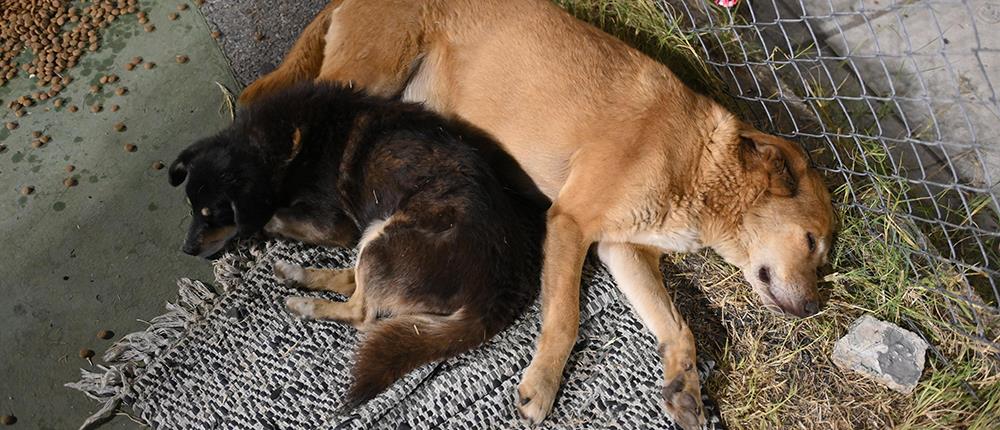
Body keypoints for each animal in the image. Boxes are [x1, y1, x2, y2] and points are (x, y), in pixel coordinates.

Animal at [170, 82, 548, 408]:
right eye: (191, 208)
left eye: (214, 215)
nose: (187, 249)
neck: (278, 142)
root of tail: (496, 295)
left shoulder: (334, 225)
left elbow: (270, 217)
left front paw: (251, 237)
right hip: (377, 235)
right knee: (352, 281)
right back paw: (295, 275)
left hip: (385, 237)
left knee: (361, 311)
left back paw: (304, 303)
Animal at [240, 1, 836, 428]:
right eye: (812, 242)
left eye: (822, 256)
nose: (813, 308)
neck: (698, 165)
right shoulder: (571, 224)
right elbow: (565, 318)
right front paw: (545, 385)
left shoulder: (622, 248)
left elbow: (678, 326)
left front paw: (685, 385)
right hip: (364, 79)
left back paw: (299, 274)